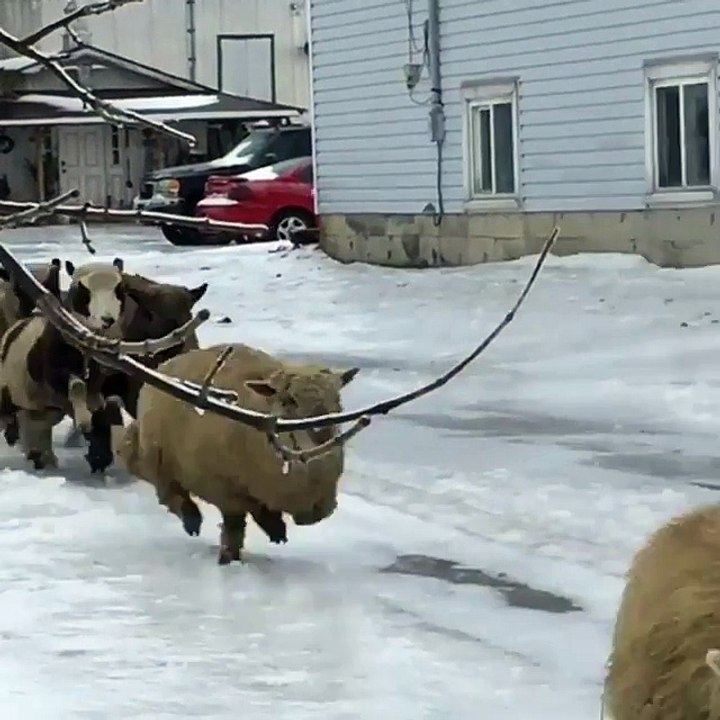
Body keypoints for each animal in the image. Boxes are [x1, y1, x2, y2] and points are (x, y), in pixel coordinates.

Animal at [109, 342, 360, 564]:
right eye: (289, 400)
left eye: (337, 399)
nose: (322, 431)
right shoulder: (226, 490)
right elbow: (234, 528)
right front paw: (229, 557)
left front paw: (274, 527)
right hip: (155, 453)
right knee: (160, 484)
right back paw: (191, 519)